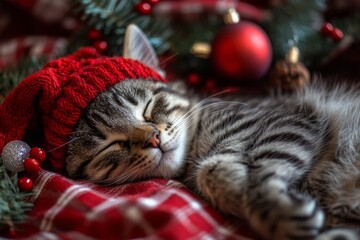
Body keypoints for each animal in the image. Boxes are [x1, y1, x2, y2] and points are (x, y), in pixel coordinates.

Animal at [66, 78, 360, 239]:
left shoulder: (288, 123)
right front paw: (237, 188)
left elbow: (256, 172)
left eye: (149, 108)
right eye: (110, 145)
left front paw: (275, 209)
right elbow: (213, 169)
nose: (153, 139)